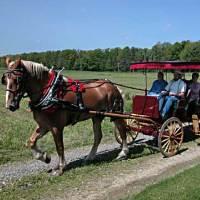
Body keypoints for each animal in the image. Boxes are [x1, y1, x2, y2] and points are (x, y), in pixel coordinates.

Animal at [1, 57, 129, 175]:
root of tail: (113, 86)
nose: (9, 105)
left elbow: (59, 147)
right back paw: (90, 157)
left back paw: (123, 152)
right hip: (96, 117)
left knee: (122, 130)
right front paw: (45, 157)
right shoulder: (43, 126)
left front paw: (61, 167)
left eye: (17, 79)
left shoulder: (56, 127)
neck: (50, 92)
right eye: (5, 80)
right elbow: (31, 141)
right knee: (98, 136)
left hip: (115, 113)